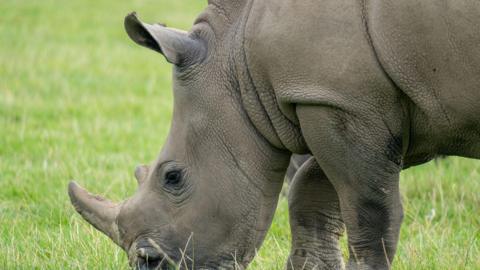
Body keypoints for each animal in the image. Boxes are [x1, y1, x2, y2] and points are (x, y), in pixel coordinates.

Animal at [67, 0, 480, 268]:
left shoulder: (341, 100)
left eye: (173, 177)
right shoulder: (334, 101)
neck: (236, 64)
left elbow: (369, 215)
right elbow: (309, 192)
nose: (145, 263)